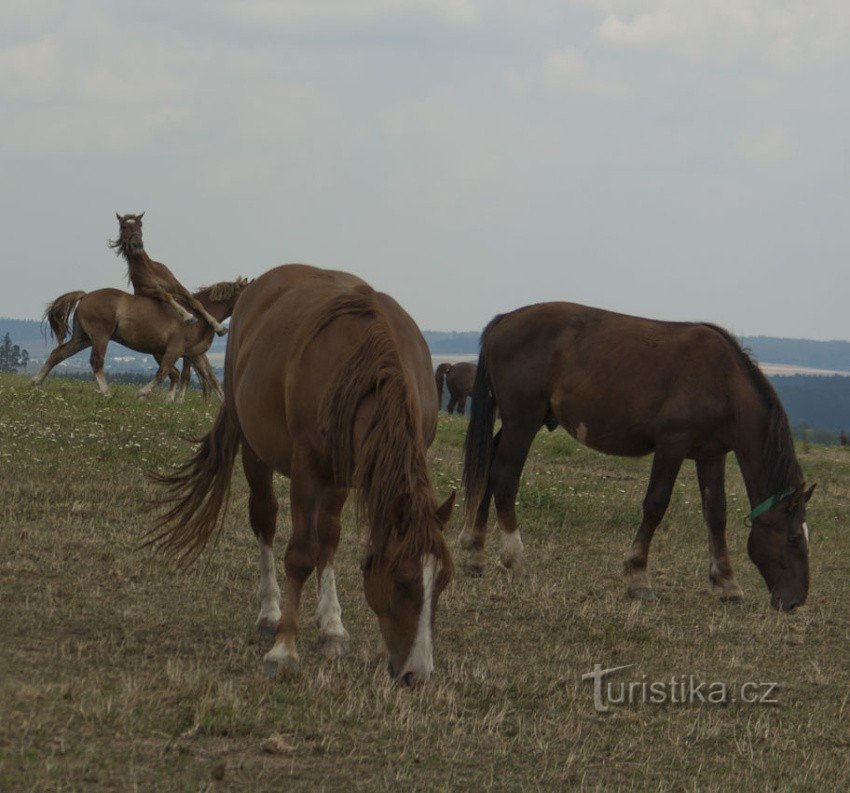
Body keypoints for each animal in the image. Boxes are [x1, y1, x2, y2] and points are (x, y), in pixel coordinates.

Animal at [31, 280, 247, 402]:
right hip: (100, 337)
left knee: (58, 354)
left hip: (82, 338)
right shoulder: (175, 349)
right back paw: (106, 392)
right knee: (96, 362)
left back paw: (36, 382)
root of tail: (85, 296)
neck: (199, 316)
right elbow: (162, 373)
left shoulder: (195, 354)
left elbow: (212, 380)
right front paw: (142, 393)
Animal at [152, 264, 458, 680]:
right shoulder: (306, 469)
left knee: (327, 535)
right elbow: (299, 555)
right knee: (265, 520)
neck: (368, 369)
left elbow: (331, 542)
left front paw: (340, 631)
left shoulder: (348, 471)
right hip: (256, 451)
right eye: (402, 581)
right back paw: (270, 613)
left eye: (441, 582)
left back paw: (330, 625)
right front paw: (284, 649)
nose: (417, 673)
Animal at [460, 304, 812, 612]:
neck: (722, 380)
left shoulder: (711, 455)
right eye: (794, 538)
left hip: (517, 423)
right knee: (505, 478)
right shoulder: (672, 445)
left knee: (488, 471)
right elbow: (656, 504)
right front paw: (638, 578)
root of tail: (504, 320)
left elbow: (716, 513)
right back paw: (517, 562)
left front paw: (727, 583)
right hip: (523, 421)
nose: (796, 601)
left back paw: (475, 554)